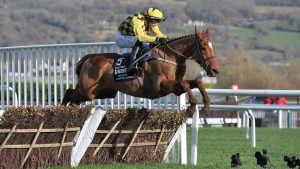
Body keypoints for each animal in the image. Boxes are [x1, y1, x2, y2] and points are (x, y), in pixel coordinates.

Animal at [61, 28, 220, 115]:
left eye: (213, 47)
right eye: (204, 48)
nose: (215, 69)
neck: (169, 57)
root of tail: (88, 58)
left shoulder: (175, 88)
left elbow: (196, 82)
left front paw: (206, 105)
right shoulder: (160, 87)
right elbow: (186, 84)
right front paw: (192, 106)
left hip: (105, 92)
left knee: (73, 96)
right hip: (88, 91)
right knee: (69, 93)